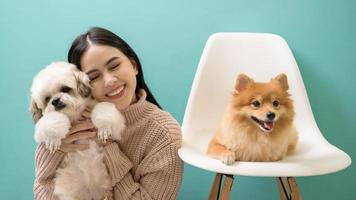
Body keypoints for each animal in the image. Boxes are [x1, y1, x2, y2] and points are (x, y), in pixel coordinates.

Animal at [29, 61, 126, 199]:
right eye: (47, 99)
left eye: (65, 89)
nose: (55, 101)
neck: (74, 114)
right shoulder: (45, 125)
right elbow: (53, 121)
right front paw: (53, 138)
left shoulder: (116, 123)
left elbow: (105, 112)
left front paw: (104, 128)